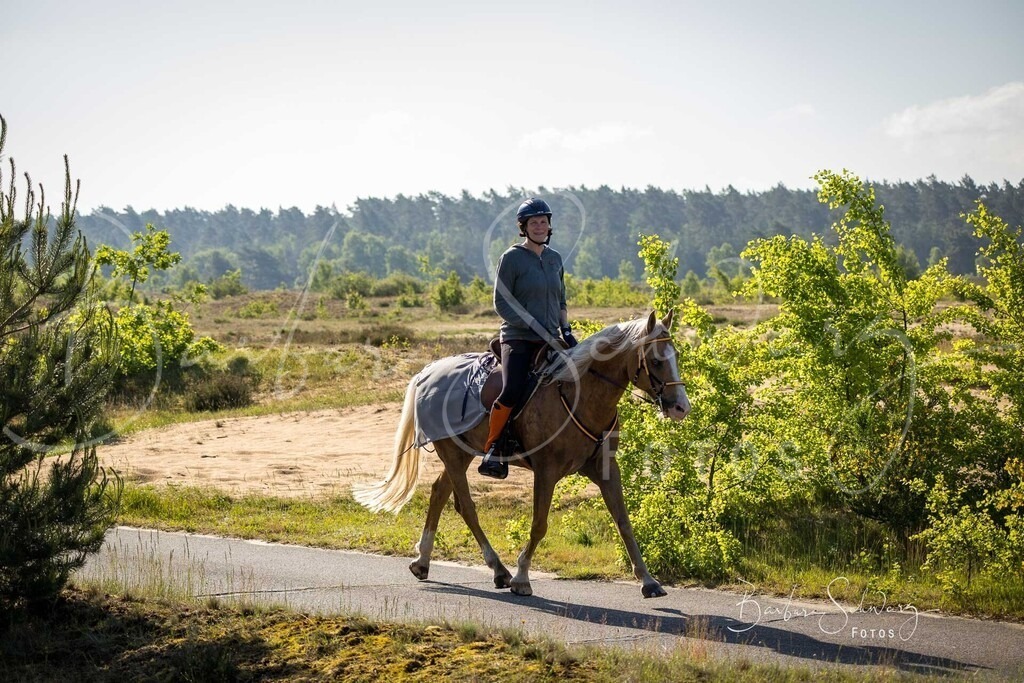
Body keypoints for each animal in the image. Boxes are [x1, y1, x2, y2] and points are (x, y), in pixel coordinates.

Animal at [353, 310, 690, 598]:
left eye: (675, 357)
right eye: (656, 361)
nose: (681, 408)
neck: (579, 394)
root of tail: (427, 372)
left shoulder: (605, 468)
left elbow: (623, 521)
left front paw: (648, 581)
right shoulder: (546, 471)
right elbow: (539, 524)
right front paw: (522, 577)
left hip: (461, 453)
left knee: (439, 493)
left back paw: (423, 562)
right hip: (452, 452)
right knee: (467, 507)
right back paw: (498, 569)